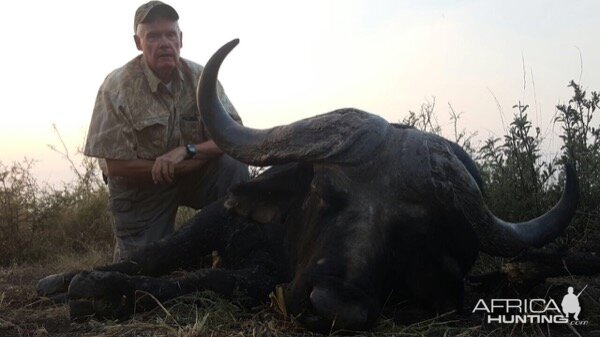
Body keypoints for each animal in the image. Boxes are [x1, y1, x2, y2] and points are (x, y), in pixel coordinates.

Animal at [36, 39, 576, 330]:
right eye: (324, 192)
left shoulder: (256, 278)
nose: (334, 306)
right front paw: (73, 281)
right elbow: (148, 258)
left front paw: (100, 292)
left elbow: (203, 279)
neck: (282, 238)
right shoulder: (211, 225)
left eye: (412, 231)